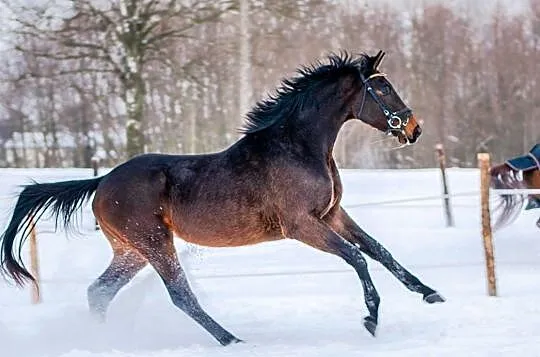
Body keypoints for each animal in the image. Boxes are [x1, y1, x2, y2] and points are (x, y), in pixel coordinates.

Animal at [1, 50, 442, 344]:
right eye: (382, 87)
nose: (415, 128)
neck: (298, 147)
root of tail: (103, 181)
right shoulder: (302, 225)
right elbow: (357, 258)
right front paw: (371, 318)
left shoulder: (332, 215)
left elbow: (379, 251)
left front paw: (429, 293)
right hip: (154, 243)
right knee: (180, 295)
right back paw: (232, 340)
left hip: (130, 251)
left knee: (99, 292)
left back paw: (106, 340)